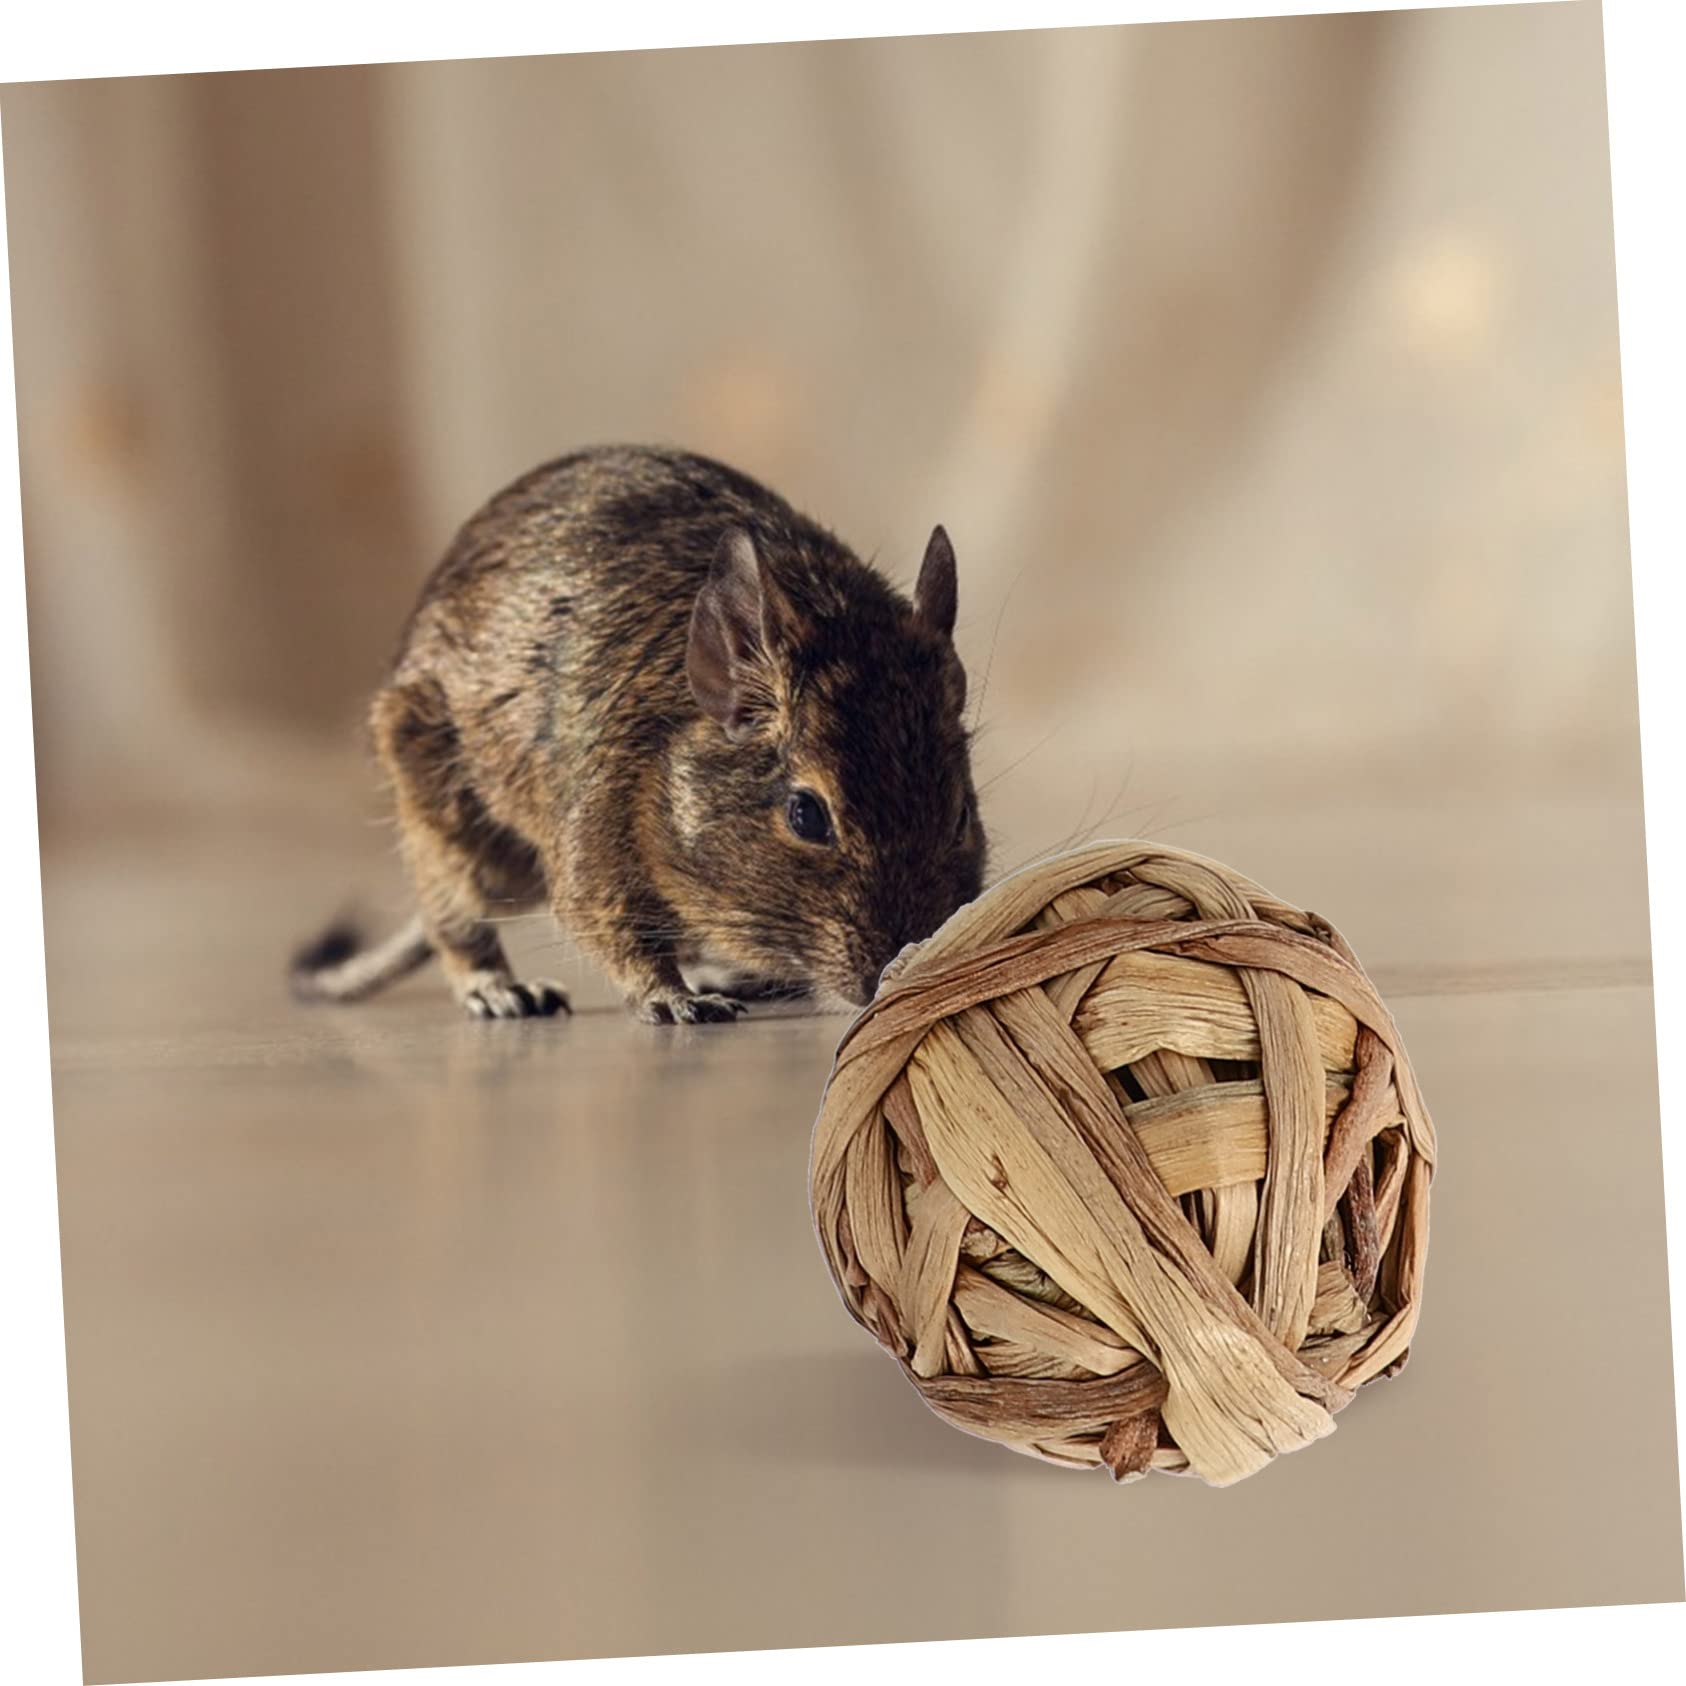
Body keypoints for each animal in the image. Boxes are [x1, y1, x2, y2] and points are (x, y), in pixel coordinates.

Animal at [290, 444, 987, 1022]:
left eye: (959, 813)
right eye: (806, 815)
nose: (902, 973)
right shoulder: (593, 853)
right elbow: (617, 935)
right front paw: (676, 1000)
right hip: (442, 813)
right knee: (452, 921)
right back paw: (503, 990)